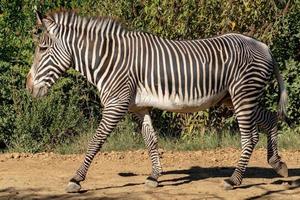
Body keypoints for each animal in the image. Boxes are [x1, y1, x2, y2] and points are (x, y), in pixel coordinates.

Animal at [27, 10, 290, 192]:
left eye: (42, 49)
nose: (29, 87)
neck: (110, 59)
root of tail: (263, 45)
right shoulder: (138, 106)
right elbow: (150, 140)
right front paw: (154, 176)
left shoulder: (116, 104)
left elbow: (96, 141)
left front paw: (76, 179)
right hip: (234, 97)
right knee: (269, 119)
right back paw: (278, 164)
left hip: (243, 94)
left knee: (250, 137)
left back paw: (234, 180)